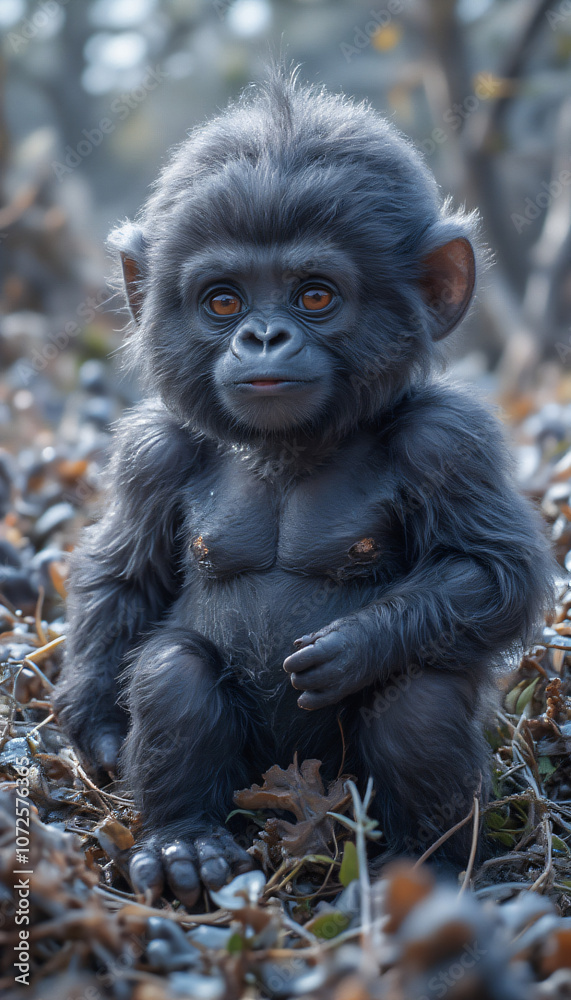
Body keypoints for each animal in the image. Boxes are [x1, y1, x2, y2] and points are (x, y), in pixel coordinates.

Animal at [54, 71, 553, 904]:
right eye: (223, 300)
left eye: (313, 296)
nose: (263, 336)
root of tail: (287, 798)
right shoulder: (151, 452)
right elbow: (126, 578)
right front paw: (94, 719)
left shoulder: (449, 441)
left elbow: (494, 569)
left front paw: (357, 642)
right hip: (254, 785)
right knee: (170, 669)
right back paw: (185, 843)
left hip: (344, 790)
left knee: (419, 695)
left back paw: (425, 872)